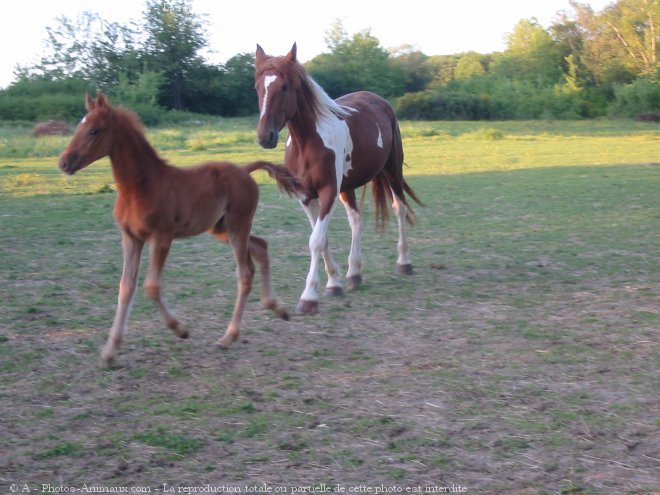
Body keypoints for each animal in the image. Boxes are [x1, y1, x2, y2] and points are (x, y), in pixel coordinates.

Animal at [58, 93, 296, 366]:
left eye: (94, 130)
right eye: (79, 127)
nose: (64, 162)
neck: (139, 187)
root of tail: (244, 170)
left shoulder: (162, 236)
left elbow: (151, 286)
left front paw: (180, 329)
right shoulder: (130, 238)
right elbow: (126, 287)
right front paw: (110, 350)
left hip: (238, 225)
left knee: (245, 273)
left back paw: (228, 337)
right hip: (223, 229)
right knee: (261, 247)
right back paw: (277, 308)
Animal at [254, 42, 422, 314]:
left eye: (285, 86)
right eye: (258, 87)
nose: (264, 136)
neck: (308, 142)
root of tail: (378, 100)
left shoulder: (328, 192)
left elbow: (316, 240)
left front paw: (308, 298)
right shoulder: (306, 197)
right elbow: (322, 239)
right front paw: (334, 283)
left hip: (392, 171)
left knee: (399, 208)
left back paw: (403, 263)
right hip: (348, 188)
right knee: (357, 220)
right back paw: (354, 274)